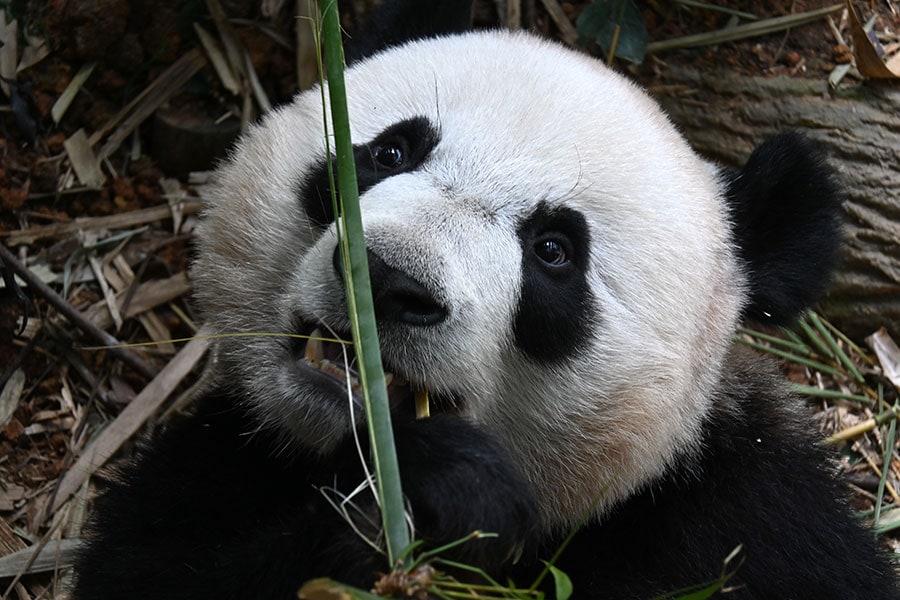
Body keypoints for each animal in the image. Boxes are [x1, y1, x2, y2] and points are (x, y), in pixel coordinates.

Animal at [72, 9, 900, 600]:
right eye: (391, 152)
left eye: (555, 251)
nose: (388, 279)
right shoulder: (221, 459)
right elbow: (150, 574)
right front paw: (436, 500)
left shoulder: (746, 517)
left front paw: (439, 505)